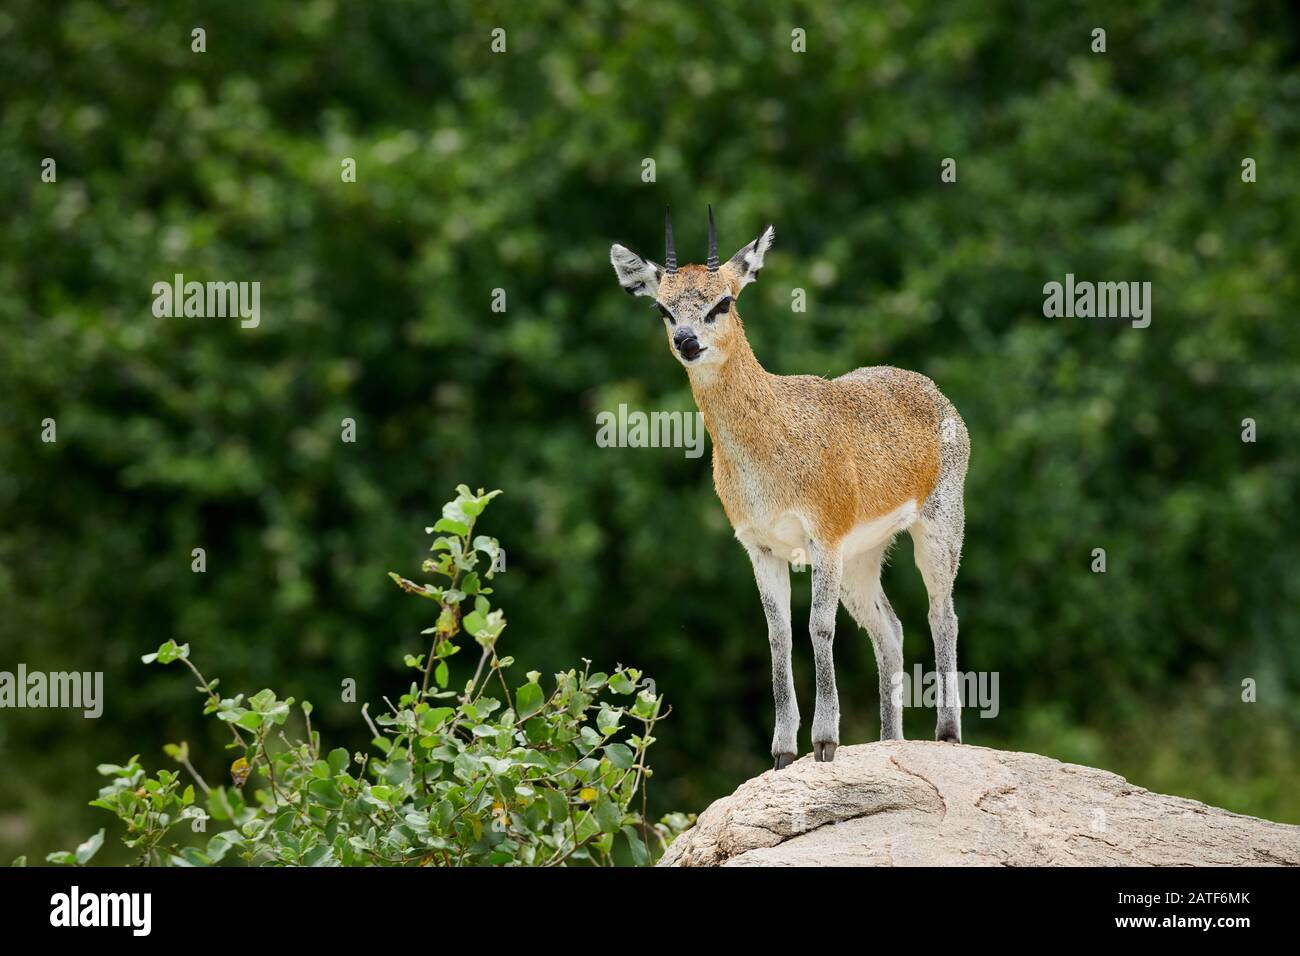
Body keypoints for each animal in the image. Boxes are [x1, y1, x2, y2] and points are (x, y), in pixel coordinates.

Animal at [610, 208, 970, 769]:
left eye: (724, 300)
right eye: (663, 309)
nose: (687, 341)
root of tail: (932, 391)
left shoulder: (823, 538)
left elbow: (818, 628)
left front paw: (825, 742)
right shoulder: (761, 548)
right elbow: (778, 638)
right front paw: (781, 751)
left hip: (937, 531)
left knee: (942, 614)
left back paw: (947, 734)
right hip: (862, 557)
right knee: (889, 628)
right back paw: (890, 742)